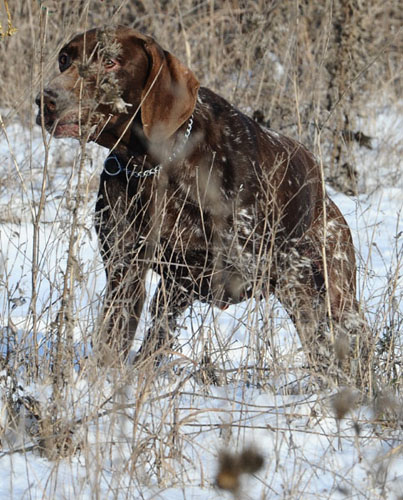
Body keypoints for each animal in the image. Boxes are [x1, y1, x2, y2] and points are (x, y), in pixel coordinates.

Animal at [35, 26, 370, 378]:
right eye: (64, 59)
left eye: (110, 62)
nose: (47, 100)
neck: (154, 163)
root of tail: (325, 197)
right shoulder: (124, 270)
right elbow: (115, 339)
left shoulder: (234, 269)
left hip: (328, 298)